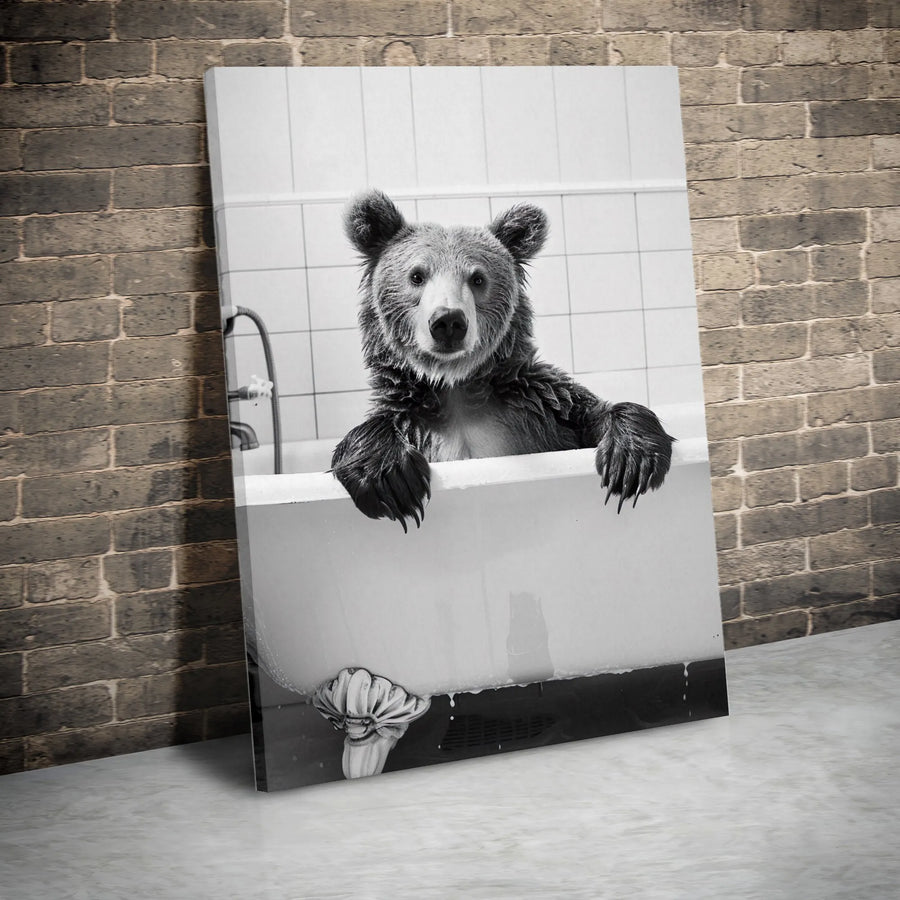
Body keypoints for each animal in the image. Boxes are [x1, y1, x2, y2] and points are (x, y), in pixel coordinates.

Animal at [331, 190, 674, 531]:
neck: (454, 387)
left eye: (477, 278)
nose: (448, 321)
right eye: (417, 275)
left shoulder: (539, 406)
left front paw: (631, 459)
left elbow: (592, 412)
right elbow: (372, 433)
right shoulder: (412, 419)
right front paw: (391, 479)